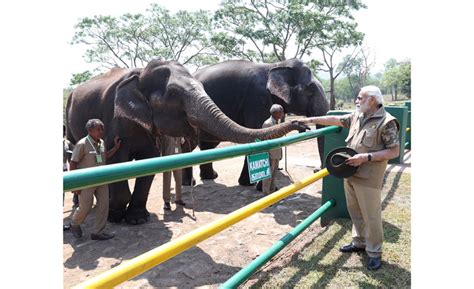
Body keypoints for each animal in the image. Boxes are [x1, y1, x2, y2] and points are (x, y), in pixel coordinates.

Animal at [65, 59, 308, 225]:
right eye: (173, 95)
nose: (301, 124)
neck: (140, 74)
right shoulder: (114, 120)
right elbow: (116, 159)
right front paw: (117, 216)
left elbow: (149, 164)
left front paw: (137, 219)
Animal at [181, 58, 330, 186]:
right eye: (310, 90)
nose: (316, 170)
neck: (276, 65)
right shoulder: (257, 98)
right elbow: (257, 132)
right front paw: (248, 184)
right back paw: (189, 183)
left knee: (208, 144)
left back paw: (210, 177)